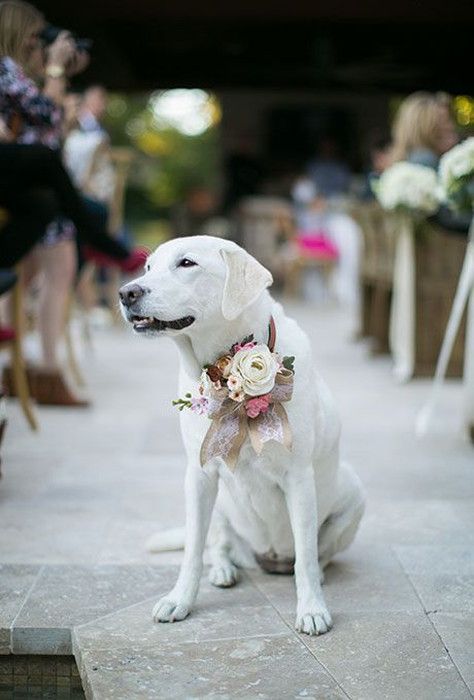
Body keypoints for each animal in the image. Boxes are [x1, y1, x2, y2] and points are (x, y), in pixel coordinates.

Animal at [120, 234, 364, 636]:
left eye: (186, 263)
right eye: (149, 267)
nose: (126, 292)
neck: (223, 372)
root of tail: (266, 558)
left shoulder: (299, 477)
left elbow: (306, 558)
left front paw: (312, 607)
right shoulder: (199, 475)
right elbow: (193, 551)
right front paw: (180, 599)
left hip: (354, 493)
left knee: (318, 554)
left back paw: (316, 575)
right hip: (219, 504)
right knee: (216, 545)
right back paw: (222, 569)